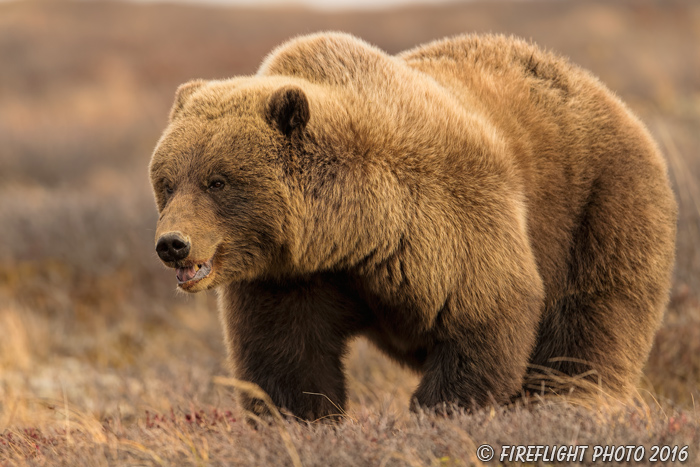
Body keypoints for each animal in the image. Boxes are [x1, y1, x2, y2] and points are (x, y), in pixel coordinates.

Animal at [149, 33, 680, 420]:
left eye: (218, 180)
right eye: (167, 182)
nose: (173, 244)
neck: (348, 234)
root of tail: (608, 95)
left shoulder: (448, 219)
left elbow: (485, 314)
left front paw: (440, 413)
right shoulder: (289, 276)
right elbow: (287, 361)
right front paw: (299, 423)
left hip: (598, 206)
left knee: (590, 326)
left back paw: (565, 406)